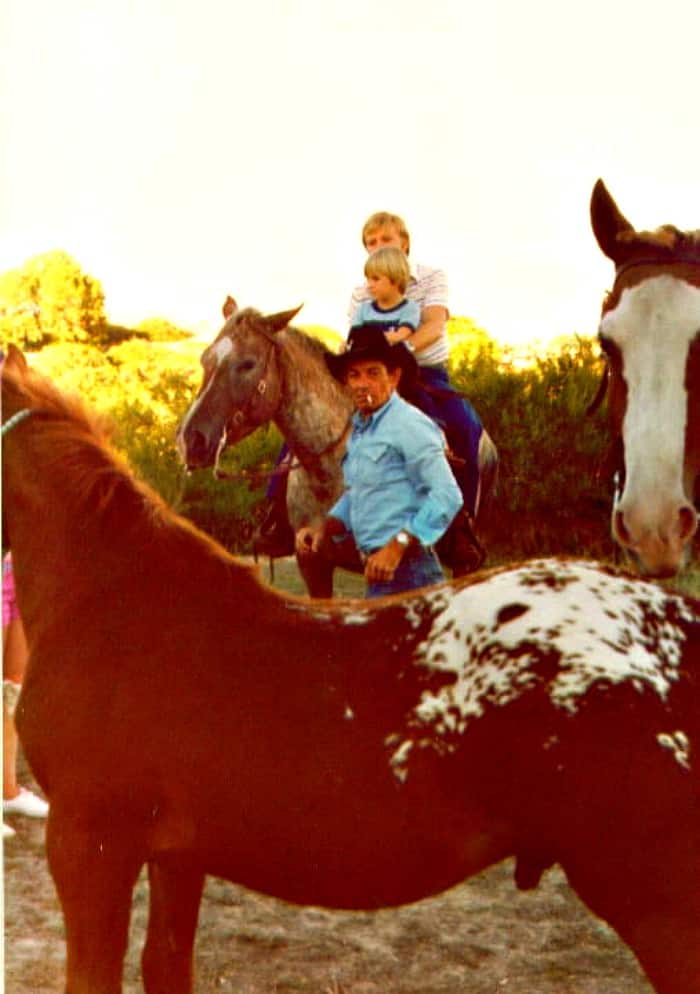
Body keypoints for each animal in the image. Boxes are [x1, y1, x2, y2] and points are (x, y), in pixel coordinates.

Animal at [1, 342, 700, 992]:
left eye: (245, 363)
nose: (195, 441)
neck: (113, 597)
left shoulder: (89, 844)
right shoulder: (175, 856)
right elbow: (166, 964)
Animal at [178, 298, 500, 592]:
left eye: (248, 364)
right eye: (205, 359)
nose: (190, 440)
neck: (330, 470)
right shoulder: (312, 564)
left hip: (463, 562)